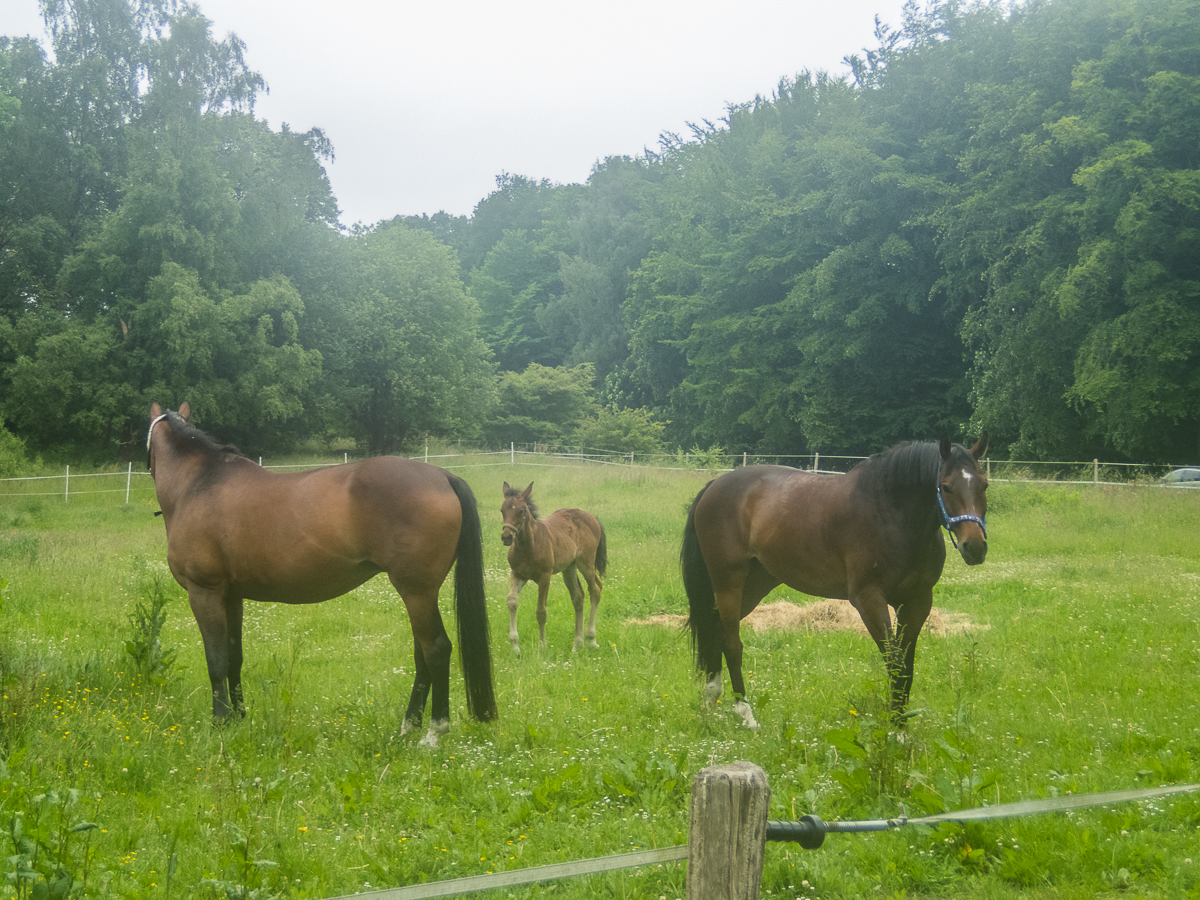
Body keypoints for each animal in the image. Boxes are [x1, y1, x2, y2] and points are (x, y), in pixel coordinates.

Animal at [148, 400, 496, 748]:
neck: (199, 484)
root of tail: (443, 476)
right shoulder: (231, 596)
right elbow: (234, 657)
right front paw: (238, 717)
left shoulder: (204, 593)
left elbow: (216, 660)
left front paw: (220, 722)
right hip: (420, 595)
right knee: (422, 654)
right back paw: (408, 726)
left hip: (416, 591)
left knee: (436, 649)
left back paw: (434, 733)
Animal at [499, 482, 604, 657]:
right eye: (502, 510)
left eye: (521, 510)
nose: (506, 537)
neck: (528, 546)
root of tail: (592, 517)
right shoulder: (518, 575)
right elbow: (512, 601)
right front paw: (515, 647)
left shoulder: (544, 577)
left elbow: (541, 611)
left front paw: (542, 647)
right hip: (569, 567)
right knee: (578, 597)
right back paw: (577, 644)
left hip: (586, 562)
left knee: (595, 588)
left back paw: (591, 639)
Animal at [681, 439, 988, 734]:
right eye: (945, 487)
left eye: (984, 484)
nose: (975, 547)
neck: (890, 513)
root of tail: (714, 486)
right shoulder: (869, 599)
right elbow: (894, 662)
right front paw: (896, 733)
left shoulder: (917, 602)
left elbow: (905, 666)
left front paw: (902, 728)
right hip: (728, 582)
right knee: (732, 644)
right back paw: (746, 715)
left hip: (756, 583)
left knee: (715, 629)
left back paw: (710, 699)